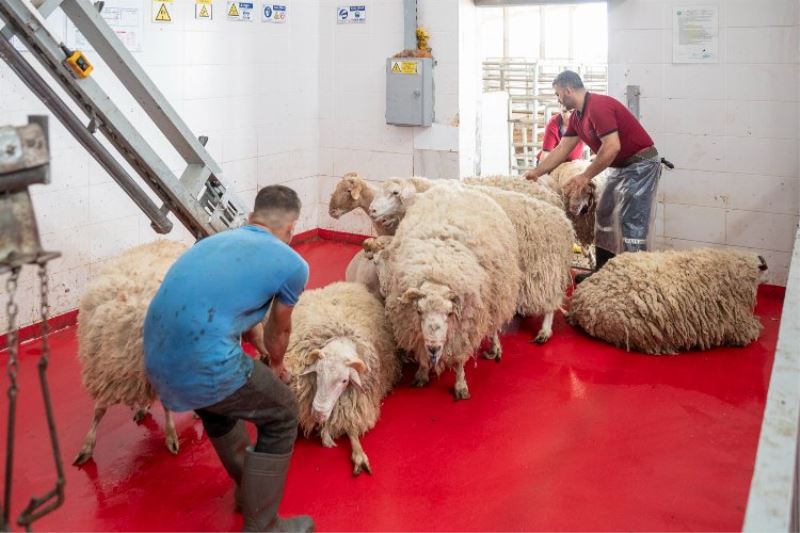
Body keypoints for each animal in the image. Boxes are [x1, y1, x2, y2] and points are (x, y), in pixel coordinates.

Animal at [73, 239, 188, 465]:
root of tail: (170, 240)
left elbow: (167, 407)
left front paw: (171, 436)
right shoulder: (106, 371)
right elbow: (99, 410)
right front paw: (87, 446)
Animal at [284, 281, 400, 475]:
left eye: (344, 381)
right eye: (318, 373)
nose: (318, 414)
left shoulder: (355, 404)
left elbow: (352, 429)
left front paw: (359, 455)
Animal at [370, 177, 575, 344]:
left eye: (395, 193)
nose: (372, 210)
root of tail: (564, 223)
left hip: (544, 270)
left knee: (551, 302)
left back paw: (545, 331)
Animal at [383, 184, 522, 399]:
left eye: (449, 313)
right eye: (419, 311)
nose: (433, 348)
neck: (437, 272)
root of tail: (457, 186)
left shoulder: (465, 327)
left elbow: (458, 360)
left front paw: (460, 385)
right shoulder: (416, 330)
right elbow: (421, 354)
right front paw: (422, 373)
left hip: (498, 298)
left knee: (494, 326)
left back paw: (495, 348)